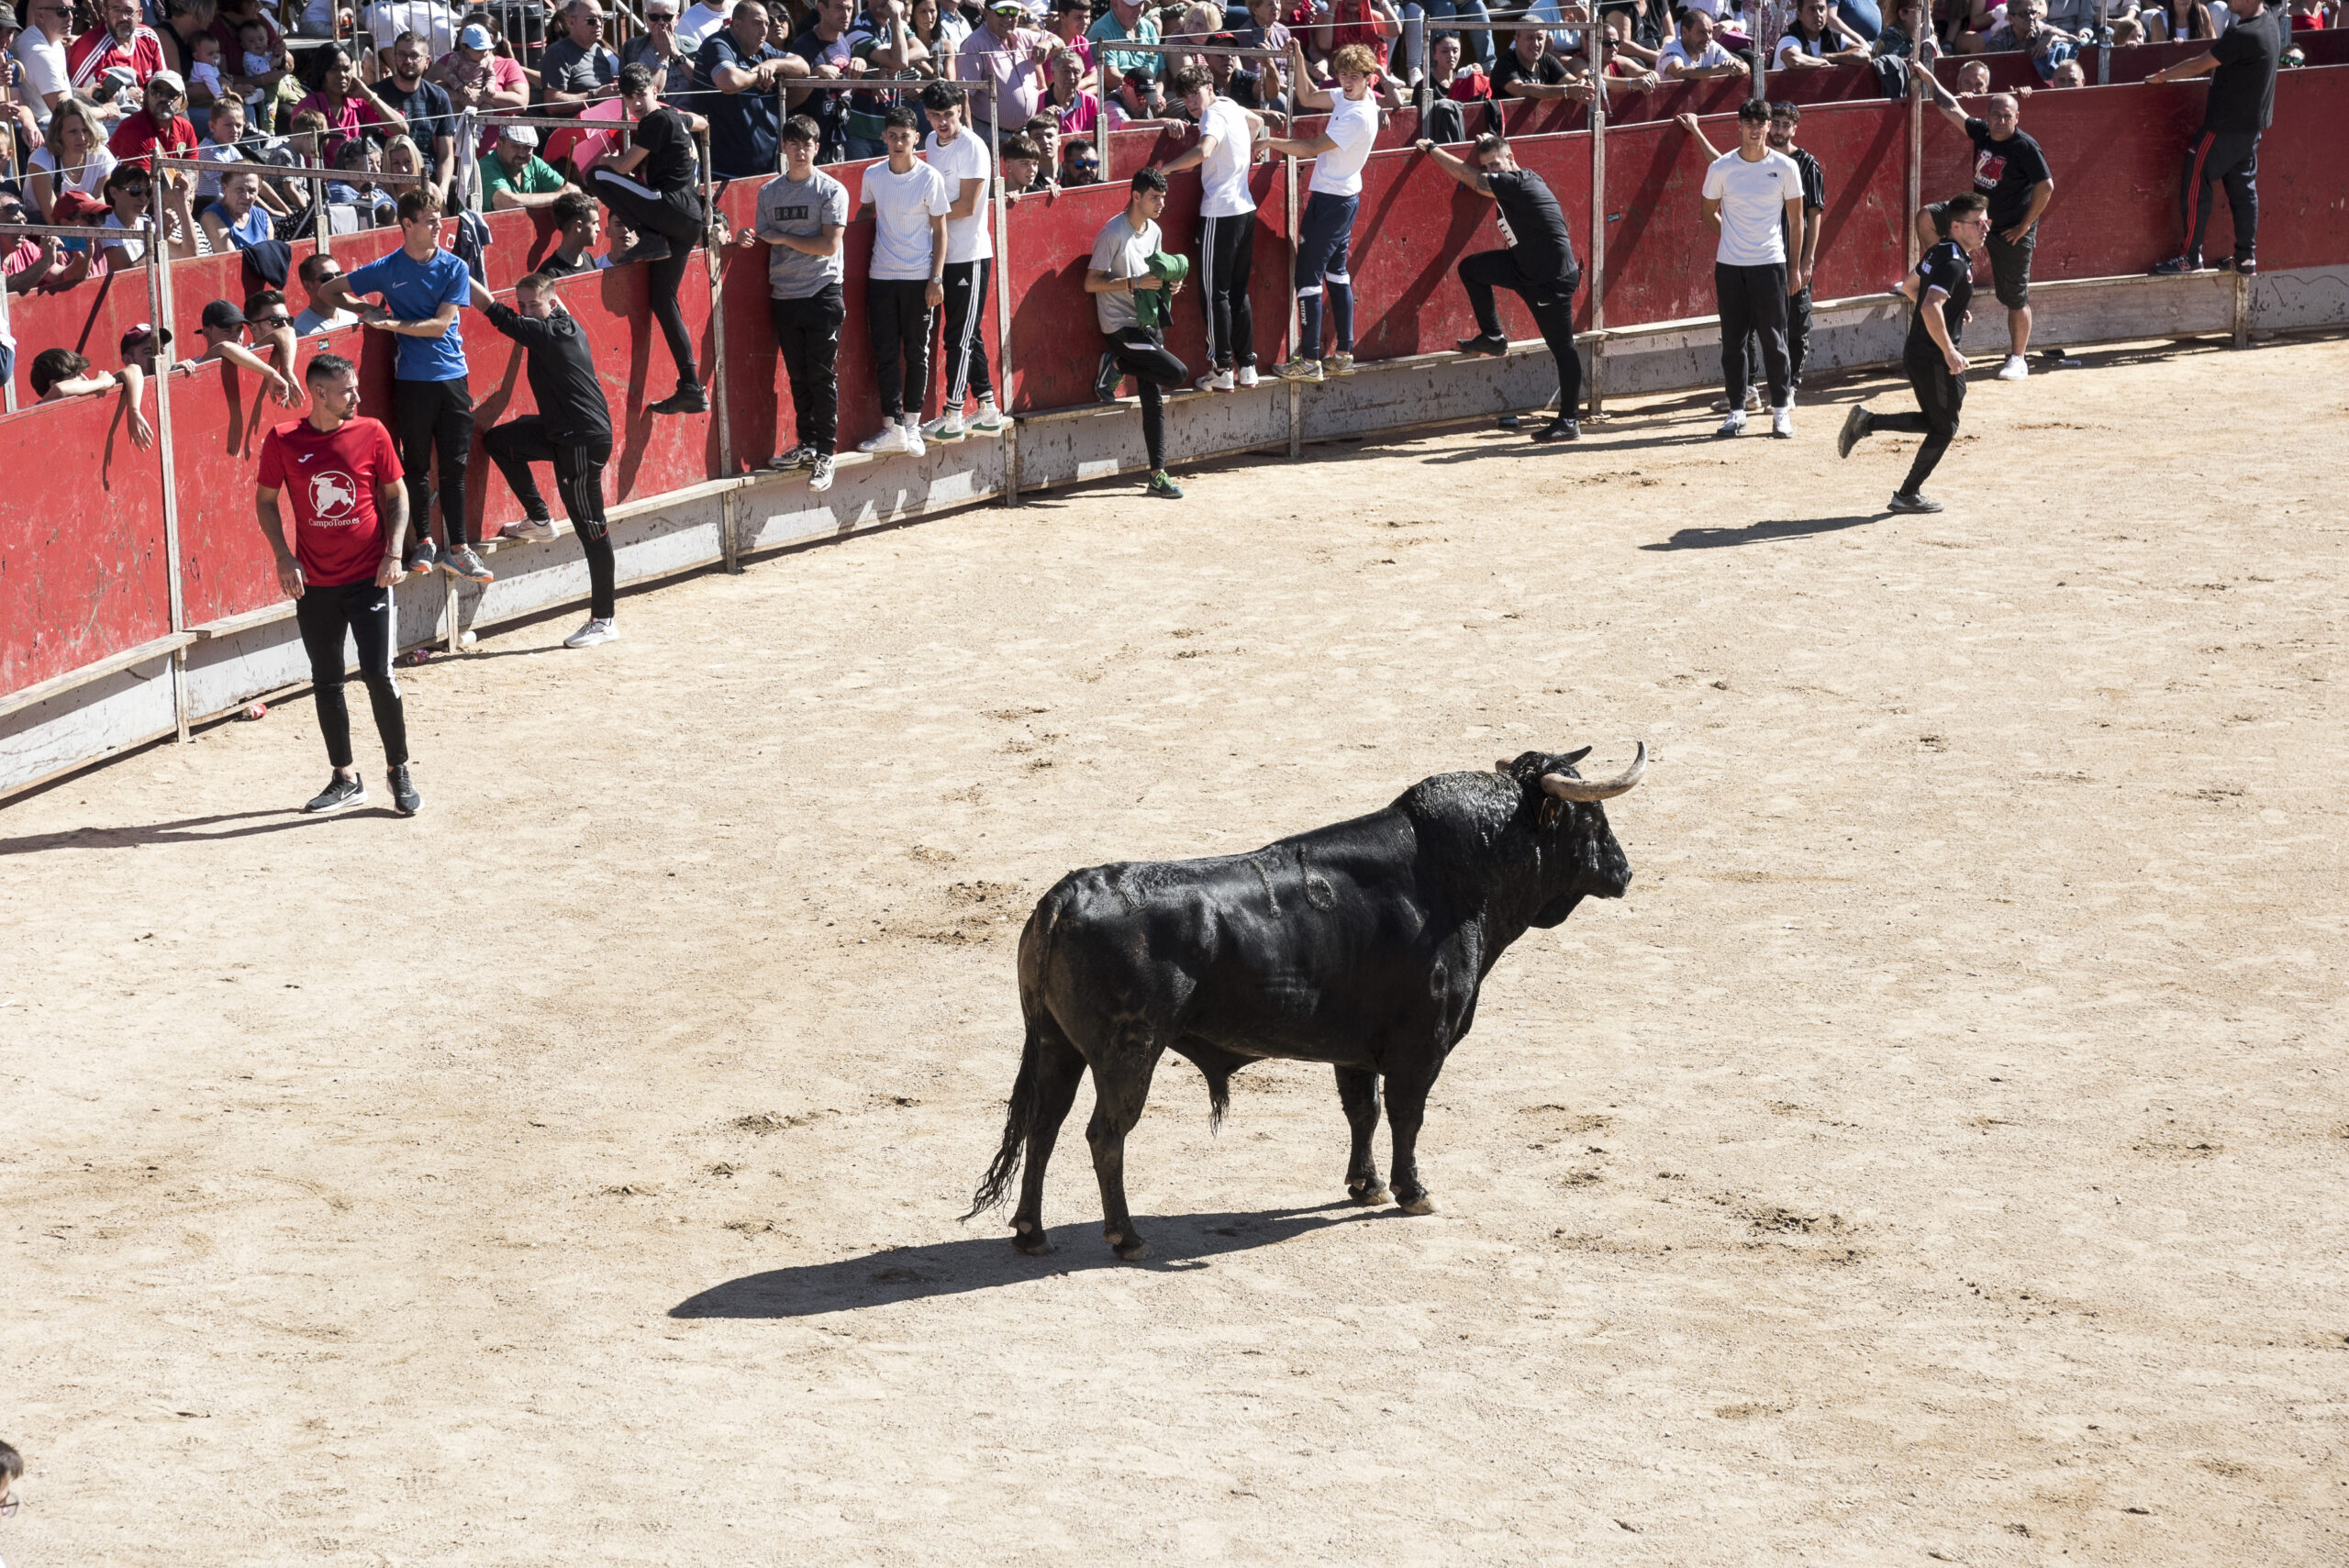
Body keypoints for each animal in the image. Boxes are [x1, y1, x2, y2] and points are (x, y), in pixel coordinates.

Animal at [963, 746, 1644, 1258]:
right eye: (1591, 820)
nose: (1624, 872)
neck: (1456, 877)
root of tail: (1064, 898)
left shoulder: (1356, 1047)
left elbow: (1363, 1110)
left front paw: (1365, 1185)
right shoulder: (1423, 1043)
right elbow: (1407, 1115)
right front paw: (1413, 1191)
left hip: (1056, 1044)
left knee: (1043, 1124)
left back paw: (1032, 1232)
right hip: (1128, 1052)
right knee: (1105, 1133)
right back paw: (1126, 1237)